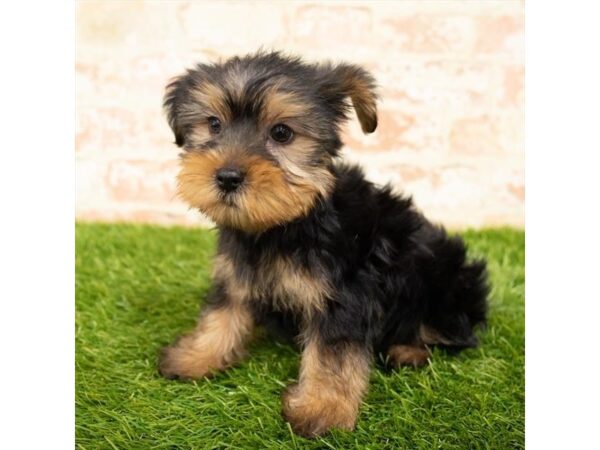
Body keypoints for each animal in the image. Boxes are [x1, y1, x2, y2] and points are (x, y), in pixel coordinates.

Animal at [159, 51, 488, 438]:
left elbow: (333, 353)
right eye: (213, 125)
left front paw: (323, 408)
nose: (227, 177)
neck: (283, 224)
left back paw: (408, 350)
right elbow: (222, 313)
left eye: (282, 133)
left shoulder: (343, 294)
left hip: (443, 277)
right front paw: (197, 355)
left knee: (451, 331)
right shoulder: (237, 272)